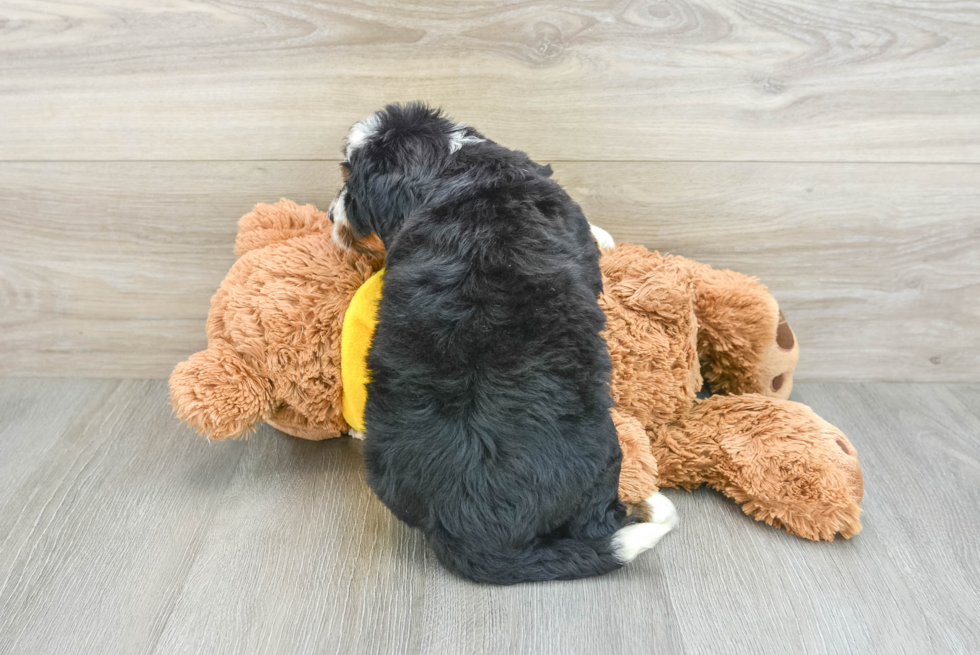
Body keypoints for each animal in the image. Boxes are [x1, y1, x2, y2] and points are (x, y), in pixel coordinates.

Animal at [330, 102, 672, 584]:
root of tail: (464, 526)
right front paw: (605, 237)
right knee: (597, 522)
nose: (329, 216)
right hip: (602, 459)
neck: (445, 163)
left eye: (349, 181)